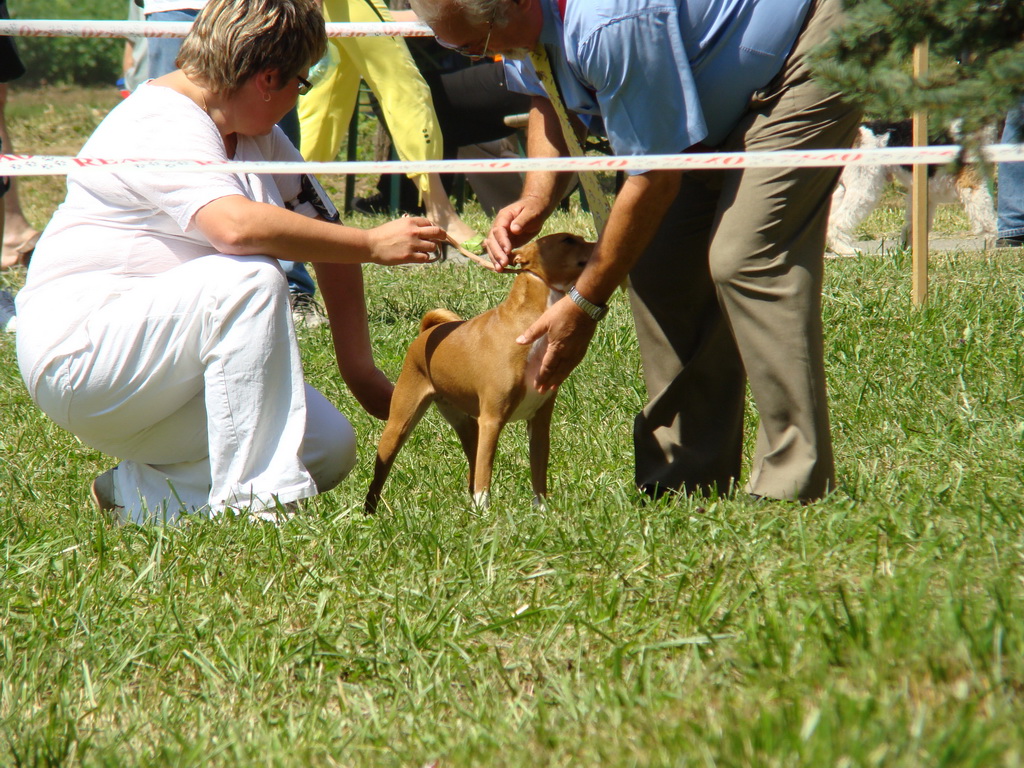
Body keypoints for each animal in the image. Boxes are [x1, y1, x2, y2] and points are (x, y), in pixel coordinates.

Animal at [366, 231, 593, 514]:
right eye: (568, 240)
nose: (599, 246)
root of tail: (427, 333)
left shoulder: (539, 422)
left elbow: (538, 475)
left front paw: (542, 513)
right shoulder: (492, 420)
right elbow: (486, 476)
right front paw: (486, 514)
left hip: (467, 426)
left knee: (472, 469)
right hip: (401, 423)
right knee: (381, 473)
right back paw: (370, 513)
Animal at [827, 120, 995, 257]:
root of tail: (859, 131)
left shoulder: (926, 194)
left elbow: (913, 226)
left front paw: (906, 249)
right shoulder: (973, 185)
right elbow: (988, 218)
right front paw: (995, 245)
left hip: (848, 188)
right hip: (865, 188)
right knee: (836, 221)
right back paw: (846, 249)